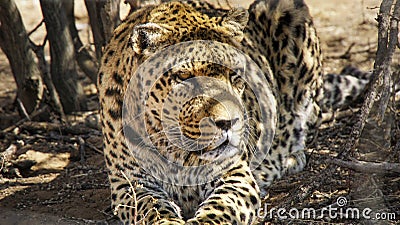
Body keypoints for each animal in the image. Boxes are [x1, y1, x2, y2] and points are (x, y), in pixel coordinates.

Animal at [97, 0, 372, 224]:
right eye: (185, 78)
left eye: (235, 75)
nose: (229, 123)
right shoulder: (131, 183)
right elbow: (152, 211)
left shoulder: (235, 175)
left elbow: (220, 209)